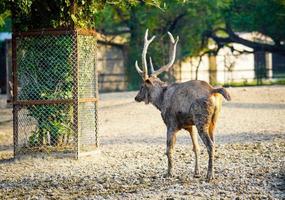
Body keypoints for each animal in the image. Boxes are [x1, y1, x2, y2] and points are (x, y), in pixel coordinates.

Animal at [134, 29, 231, 181]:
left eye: (142, 86)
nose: (136, 97)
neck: (161, 100)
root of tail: (213, 90)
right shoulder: (190, 125)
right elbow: (195, 147)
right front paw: (196, 172)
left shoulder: (171, 123)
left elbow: (169, 148)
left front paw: (169, 173)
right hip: (213, 120)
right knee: (214, 142)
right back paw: (212, 173)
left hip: (201, 119)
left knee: (210, 145)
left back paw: (209, 175)